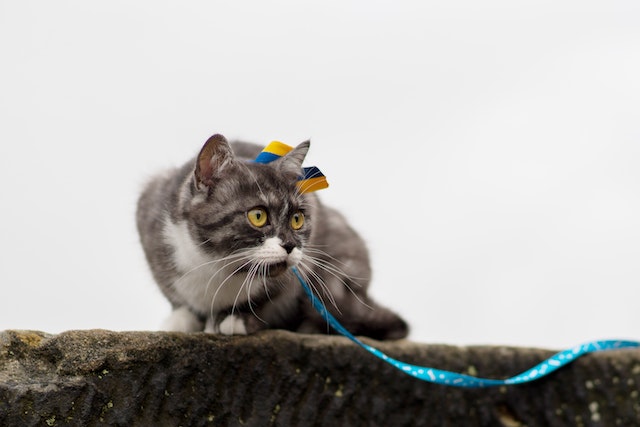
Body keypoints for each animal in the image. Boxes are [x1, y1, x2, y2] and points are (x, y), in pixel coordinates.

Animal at [138, 134, 410, 342]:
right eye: (258, 215)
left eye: (297, 219)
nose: (290, 245)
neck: (215, 264)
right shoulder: (150, 211)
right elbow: (171, 291)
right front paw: (181, 318)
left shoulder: (301, 265)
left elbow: (271, 294)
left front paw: (235, 318)